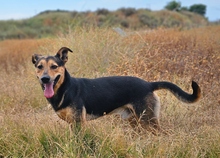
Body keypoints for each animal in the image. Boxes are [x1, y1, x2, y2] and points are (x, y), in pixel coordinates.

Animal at [32, 46, 201, 132]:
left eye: (54, 66)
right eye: (39, 67)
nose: (45, 79)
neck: (65, 88)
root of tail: (148, 84)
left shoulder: (79, 123)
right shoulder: (72, 124)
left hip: (148, 120)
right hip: (136, 120)